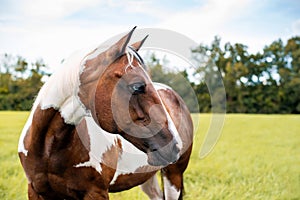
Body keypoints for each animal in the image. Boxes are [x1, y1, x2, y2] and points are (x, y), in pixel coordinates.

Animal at [18, 27, 193, 200]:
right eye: (137, 86)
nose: (175, 146)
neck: (48, 150)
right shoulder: (35, 191)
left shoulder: (96, 192)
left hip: (173, 176)